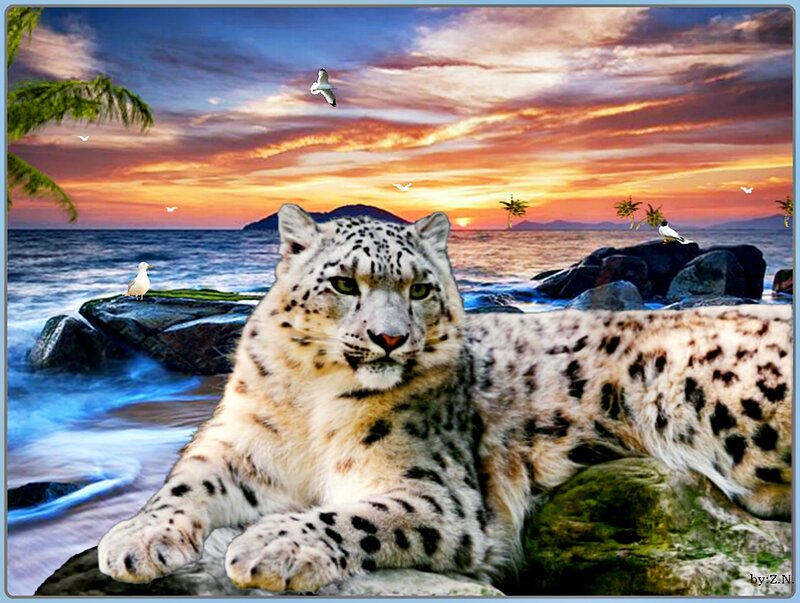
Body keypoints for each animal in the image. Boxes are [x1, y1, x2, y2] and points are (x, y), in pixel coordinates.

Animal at [98, 204, 792, 593]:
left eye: (421, 288)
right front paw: (135, 539)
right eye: (344, 283)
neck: (313, 405)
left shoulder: (441, 494)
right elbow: (185, 482)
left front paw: (272, 547)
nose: (389, 337)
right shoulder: (240, 441)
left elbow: (356, 517)